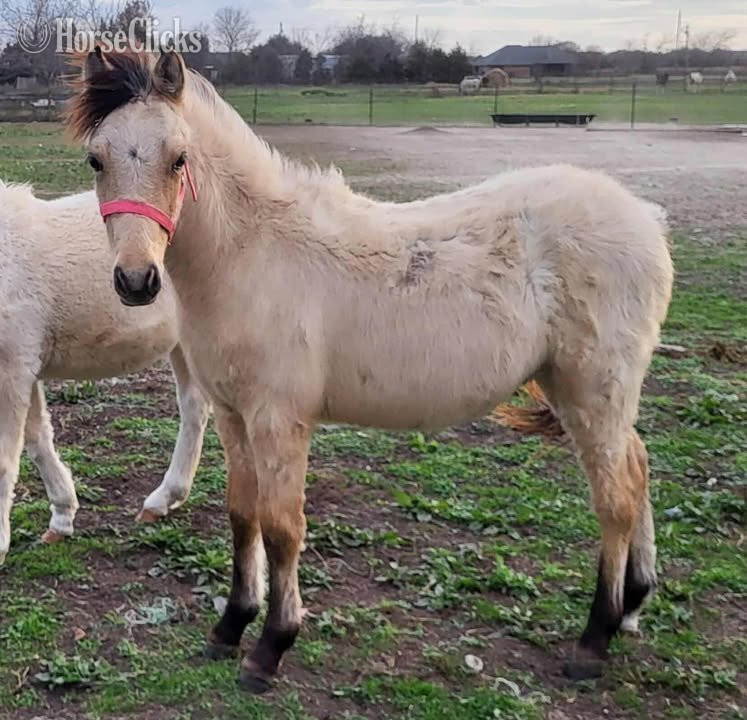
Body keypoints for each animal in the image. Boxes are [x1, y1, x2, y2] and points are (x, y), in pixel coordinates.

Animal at [0, 181, 210, 565]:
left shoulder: (12, 369)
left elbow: (5, 461)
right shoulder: (25, 366)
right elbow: (38, 439)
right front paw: (62, 516)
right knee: (195, 408)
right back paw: (164, 499)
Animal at [66, 48, 673, 692]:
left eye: (178, 159)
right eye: (96, 159)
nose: (137, 281)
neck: (253, 255)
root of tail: (647, 219)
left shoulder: (279, 420)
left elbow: (281, 526)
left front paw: (270, 647)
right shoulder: (233, 415)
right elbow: (242, 515)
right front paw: (231, 626)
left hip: (592, 390)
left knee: (615, 498)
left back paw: (594, 638)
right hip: (581, 390)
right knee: (637, 468)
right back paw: (634, 602)